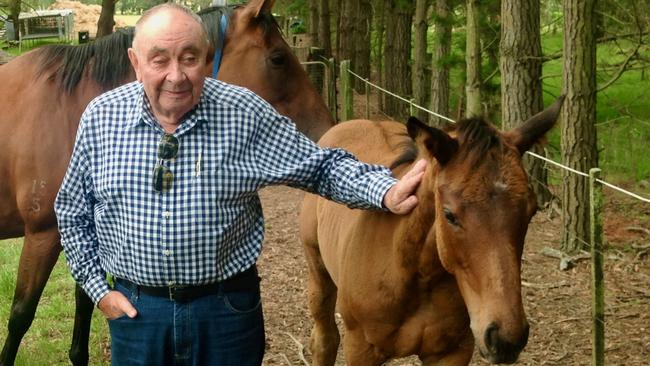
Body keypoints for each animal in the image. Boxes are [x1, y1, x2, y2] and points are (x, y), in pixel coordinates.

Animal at [0, 0, 334, 366]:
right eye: (278, 58)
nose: (328, 127)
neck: (69, 107)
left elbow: (85, 303)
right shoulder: (43, 235)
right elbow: (20, 316)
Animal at [298, 98, 560, 366]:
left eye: (532, 211)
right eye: (449, 215)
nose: (506, 338)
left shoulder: (452, 352)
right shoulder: (361, 348)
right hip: (318, 271)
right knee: (325, 339)